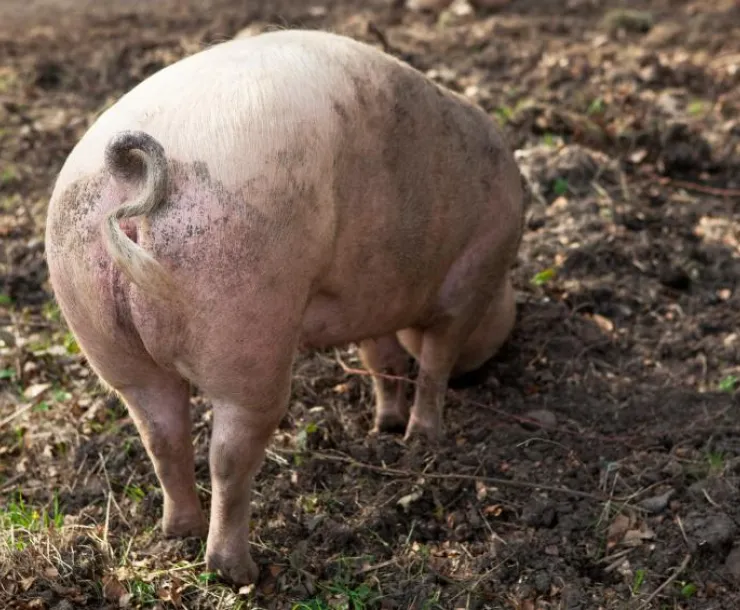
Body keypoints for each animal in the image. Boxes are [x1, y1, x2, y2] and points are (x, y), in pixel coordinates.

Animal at [44, 29, 524, 585]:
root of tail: (130, 174)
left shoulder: (369, 300)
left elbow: (381, 359)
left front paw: (385, 426)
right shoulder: (466, 283)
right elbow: (434, 364)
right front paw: (423, 437)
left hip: (107, 337)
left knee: (161, 435)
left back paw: (179, 531)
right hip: (249, 324)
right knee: (229, 455)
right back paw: (239, 571)